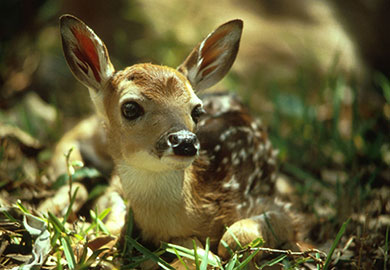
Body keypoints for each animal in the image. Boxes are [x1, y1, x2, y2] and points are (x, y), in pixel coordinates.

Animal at [59, 14, 300, 260]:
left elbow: (232, 239)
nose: (185, 141)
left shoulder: (279, 207)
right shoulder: (115, 186)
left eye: (197, 111)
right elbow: (110, 214)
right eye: (130, 108)